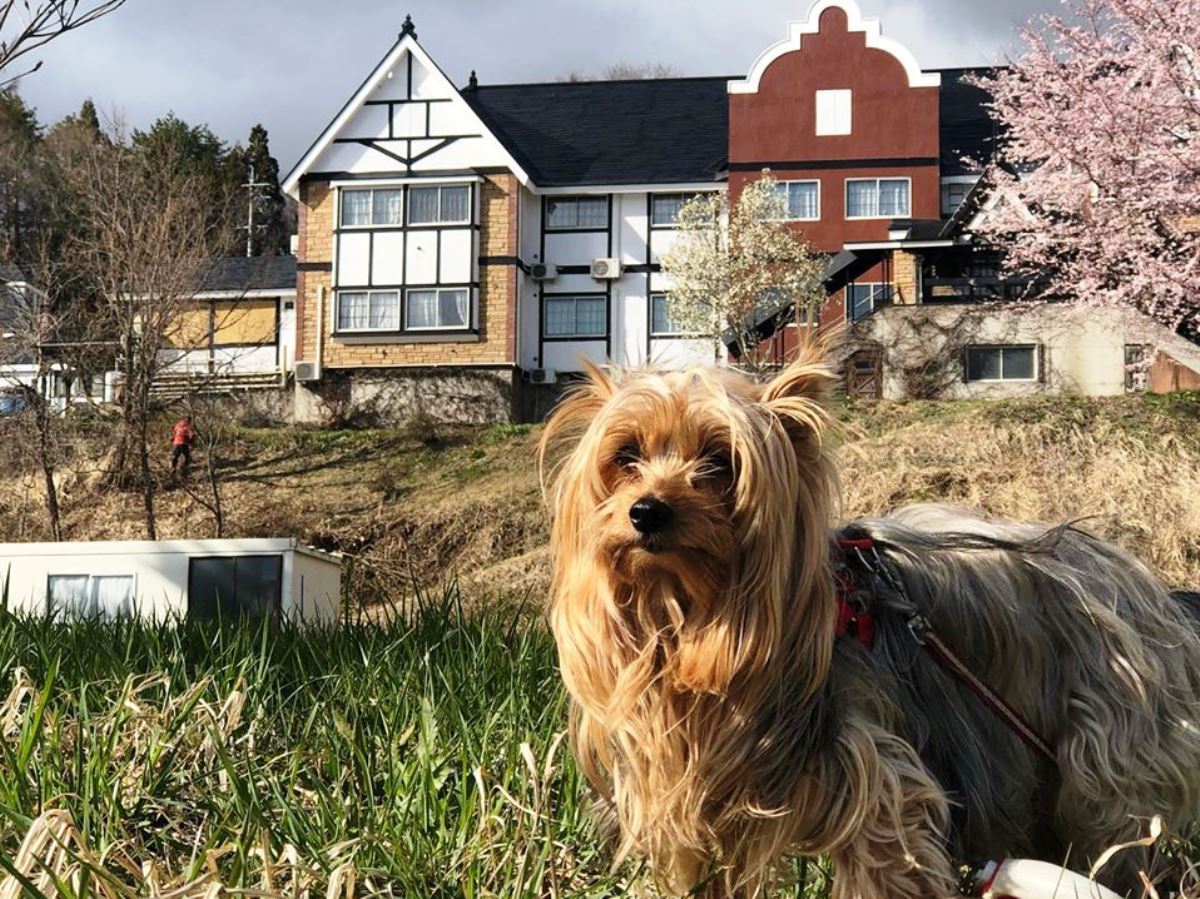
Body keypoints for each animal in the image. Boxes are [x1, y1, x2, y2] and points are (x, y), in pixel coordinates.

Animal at [540, 345, 1200, 897]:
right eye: (625, 456)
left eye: (720, 462)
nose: (647, 511)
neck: (688, 612)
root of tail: (1156, 593)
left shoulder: (876, 774)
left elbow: (889, 845)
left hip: (1107, 743)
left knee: (1116, 828)